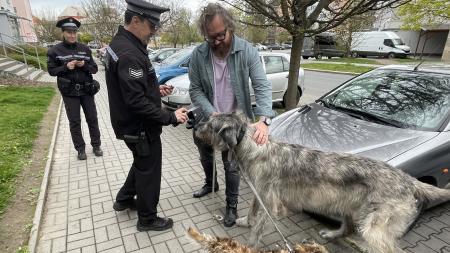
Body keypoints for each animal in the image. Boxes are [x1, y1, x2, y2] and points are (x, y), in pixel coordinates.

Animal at [195, 112, 450, 253]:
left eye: (211, 124)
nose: (195, 126)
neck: (254, 148)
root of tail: (409, 180)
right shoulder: (260, 193)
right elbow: (252, 210)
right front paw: (243, 221)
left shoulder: (271, 204)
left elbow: (258, 228)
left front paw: (249, 245)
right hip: (350, 204)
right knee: (349, 227)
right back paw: (332, 234)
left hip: (375, 226)